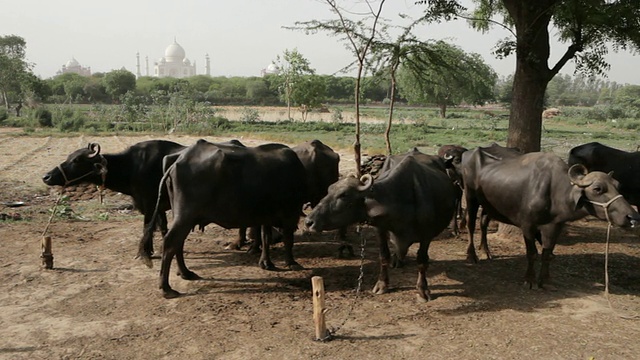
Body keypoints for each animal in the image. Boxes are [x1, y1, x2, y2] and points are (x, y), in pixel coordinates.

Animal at [42, 139, 185, 258]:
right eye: (69, 157)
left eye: (77, 160)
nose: (46, 176)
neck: (132, 167)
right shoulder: (158, 207)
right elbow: (163, 227)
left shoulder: (148, 204)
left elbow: (147, 227)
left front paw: (144, 253)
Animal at [146, 139, 306, 296]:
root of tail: (177, 162)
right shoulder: (290, 213)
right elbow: (288, 239)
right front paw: (292, 263)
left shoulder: (266, 216)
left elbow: (265, 237)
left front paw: (266, 263)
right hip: (185, 216)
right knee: (170, 242)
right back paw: (166, 288)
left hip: (181, 216)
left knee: (178, 243)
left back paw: (185, 273)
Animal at [304, 148, 456, 302]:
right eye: (329, 191)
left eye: (344, 195)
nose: (309, 222)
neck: (401, 197)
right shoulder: (380, 229)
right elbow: (383, 256)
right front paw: (382, 284)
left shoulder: (426, 235)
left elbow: (422, 261)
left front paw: (422, 290)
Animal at [462, 148, 636, 288]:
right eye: (597, 188)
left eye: (617, 186)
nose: (633, 217)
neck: (554, 191)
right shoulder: (528, 226)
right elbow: (532, 253)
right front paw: (529, 279)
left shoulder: (556, 226)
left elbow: (547, 253)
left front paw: (545, 280)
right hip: (471, 198)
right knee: (471, 225)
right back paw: (472, 255)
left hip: (489, 206)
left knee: (483, 223)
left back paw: (486, 251)